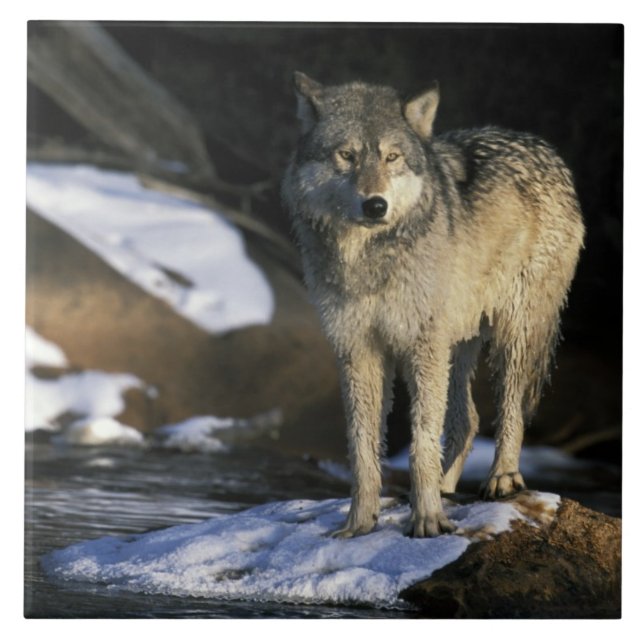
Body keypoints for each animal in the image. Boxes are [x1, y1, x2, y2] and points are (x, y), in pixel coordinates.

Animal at [282, 72, 584, 538]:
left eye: (392, 157)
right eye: (347, 155)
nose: (376, 205)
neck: (368, 260)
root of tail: (544, 148)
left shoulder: (420, 346)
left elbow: (421, 441)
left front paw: (426, 519)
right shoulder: (358, 350)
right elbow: (362, 450)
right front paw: (360, 523)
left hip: (511, 336)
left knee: (510, 410)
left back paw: (501, 478)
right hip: (456, 344)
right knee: (468, 420)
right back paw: (445, 488)